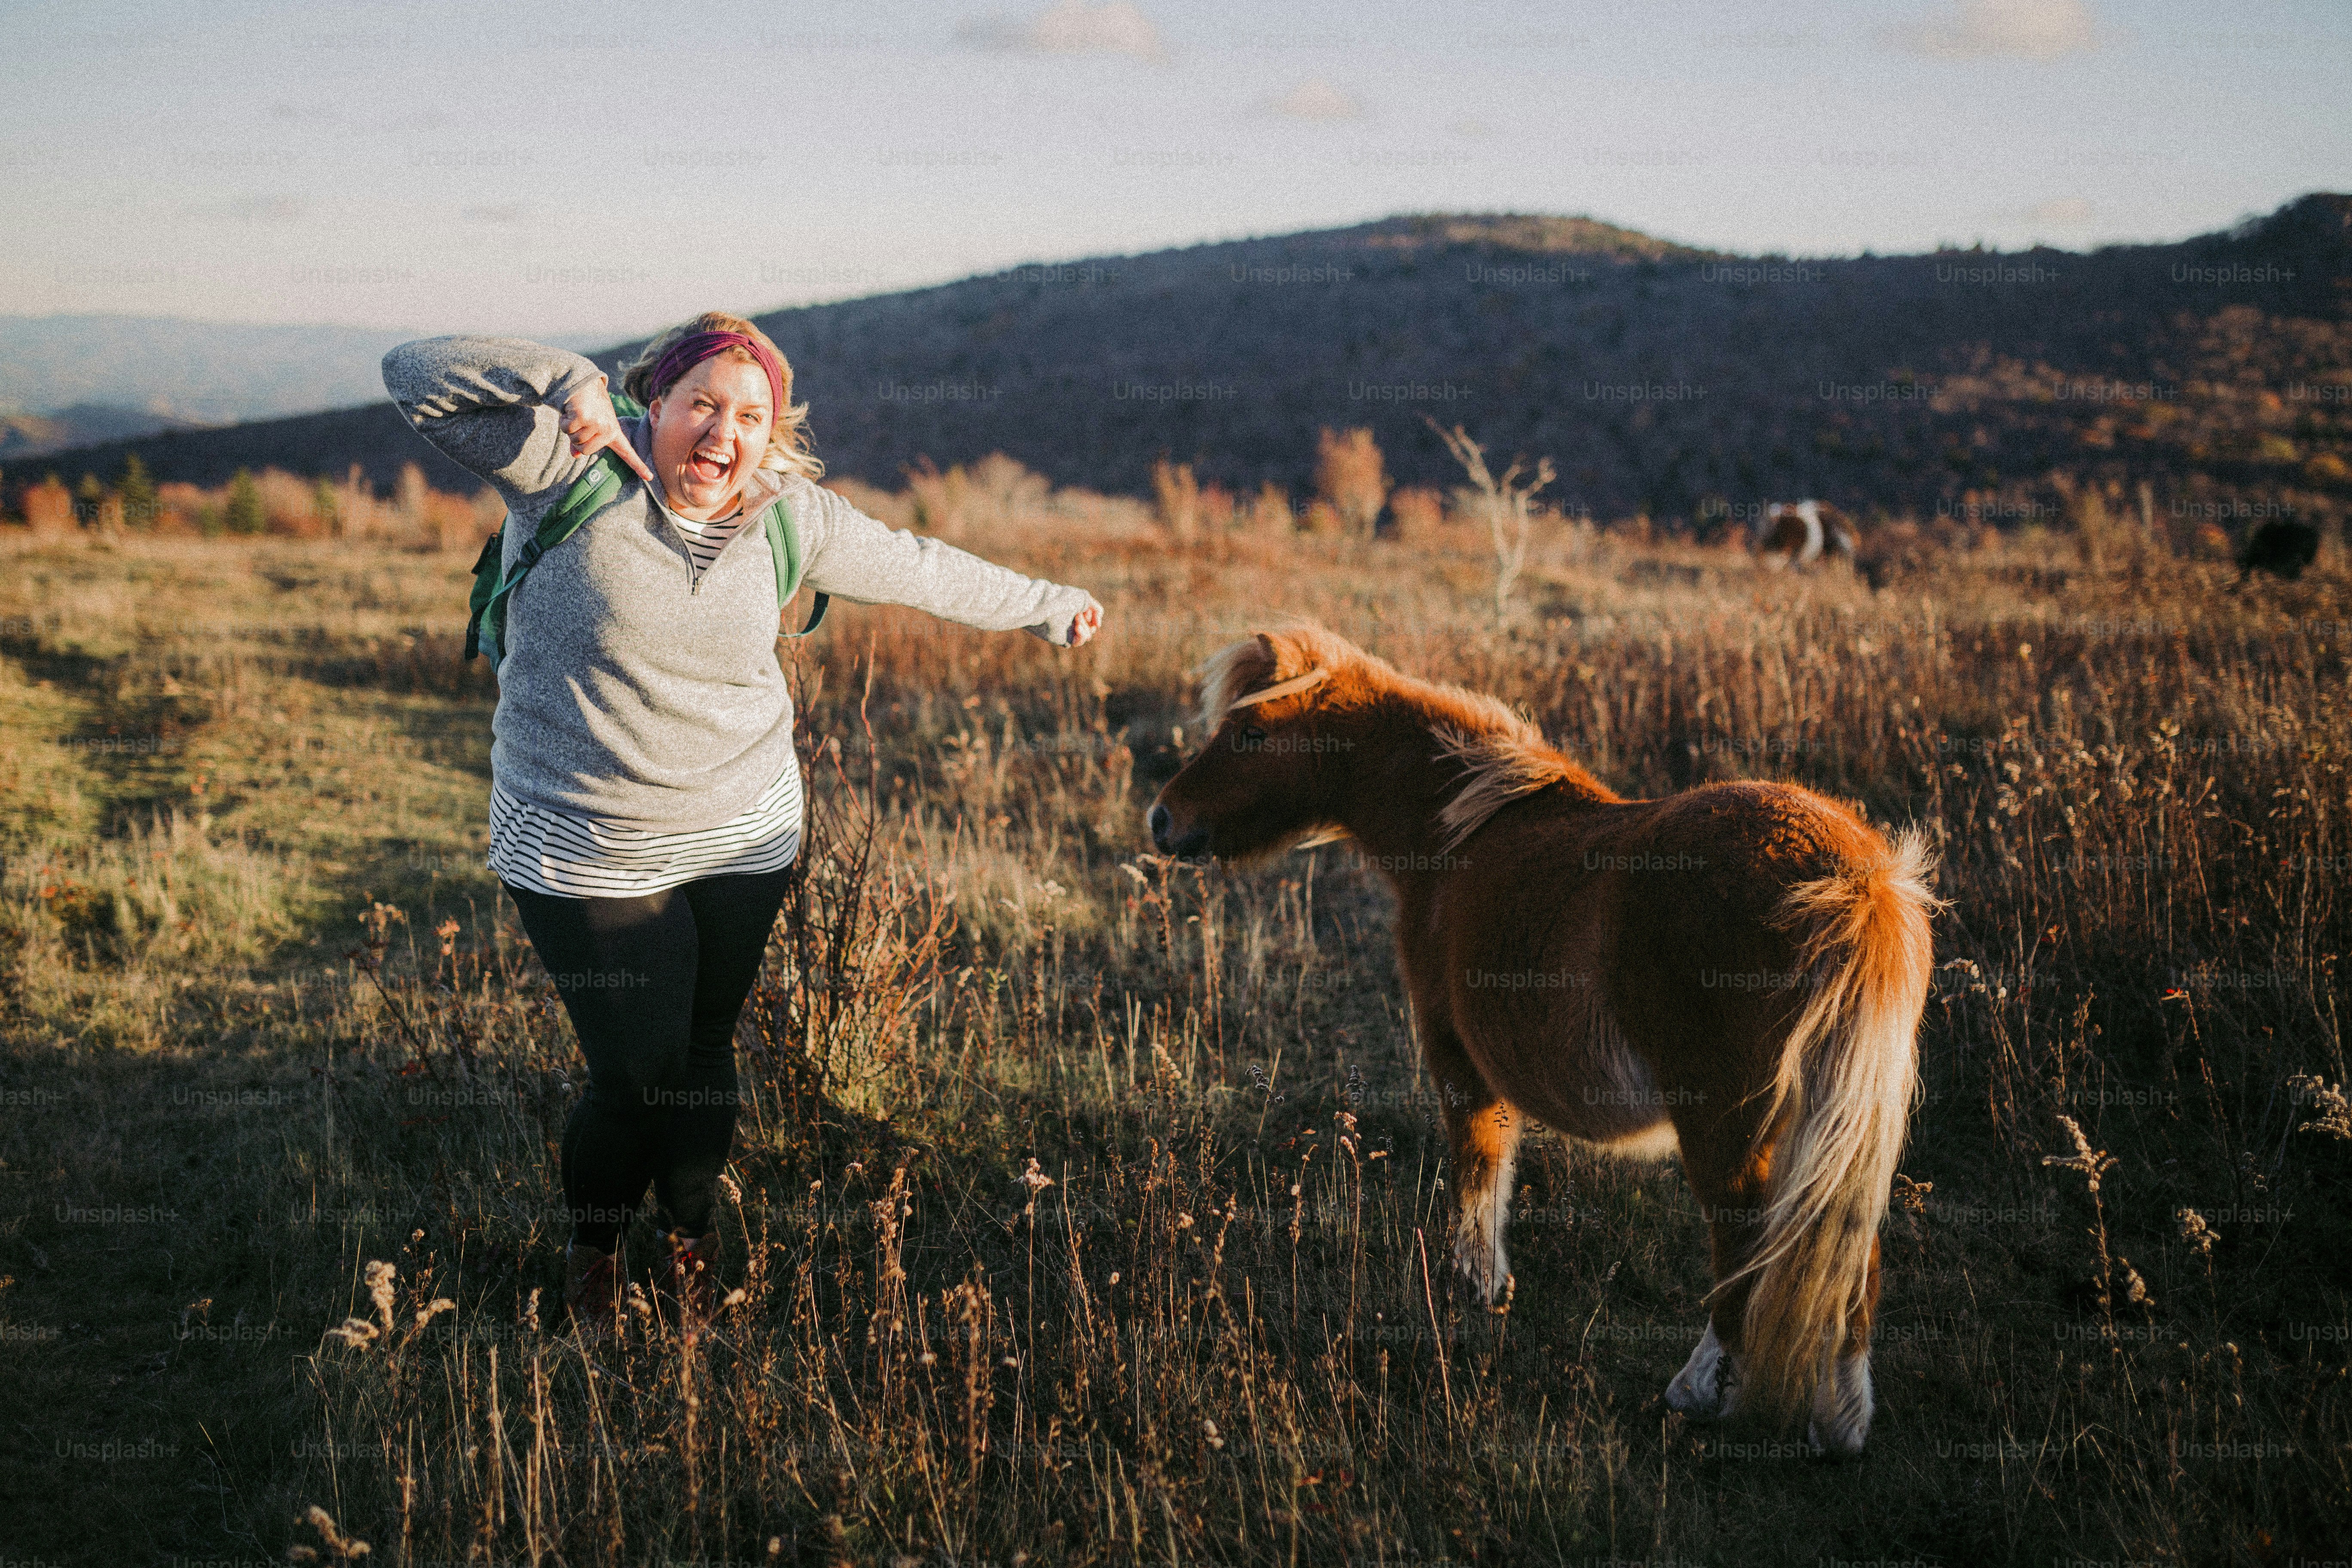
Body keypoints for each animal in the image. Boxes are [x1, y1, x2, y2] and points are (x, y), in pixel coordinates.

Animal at [1146, 624, 1937, 1456]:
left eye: (1249, 734)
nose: (1162, 820)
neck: (1459, 833)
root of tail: (1856, 882)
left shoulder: (1457, 1057)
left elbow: (1479, 1164)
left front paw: (1475, 1284)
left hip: (1728, 1126)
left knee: (1747, 1244)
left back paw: (1697, 1390)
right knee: (1848, 1253)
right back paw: (1840, 1421)